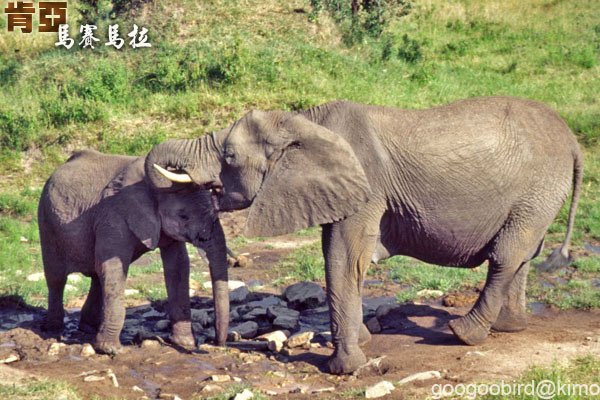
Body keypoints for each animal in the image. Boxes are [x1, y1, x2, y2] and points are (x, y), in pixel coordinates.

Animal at [38, 149, 230, 354]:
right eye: (183, 216)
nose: (214, 343)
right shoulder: (113, 214)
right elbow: (113, 267)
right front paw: (111, 350)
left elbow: (178, 266)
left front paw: (185, 343)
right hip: (47, 221)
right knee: (57, 278)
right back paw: (53, 330)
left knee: (97, 276)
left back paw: (88, 328)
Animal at [145, 97, 580, 376]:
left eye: (230, 157)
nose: (215, 345)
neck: (304, 121)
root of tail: (574, 141)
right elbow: (337, 254)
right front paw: (365, 340)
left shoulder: (366, 187)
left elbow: (343, 258)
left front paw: (344, 368)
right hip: (538, 195)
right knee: (522, 254)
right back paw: (509, 328)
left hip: (539, 186)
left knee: (506, 255)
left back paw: (463, 333)